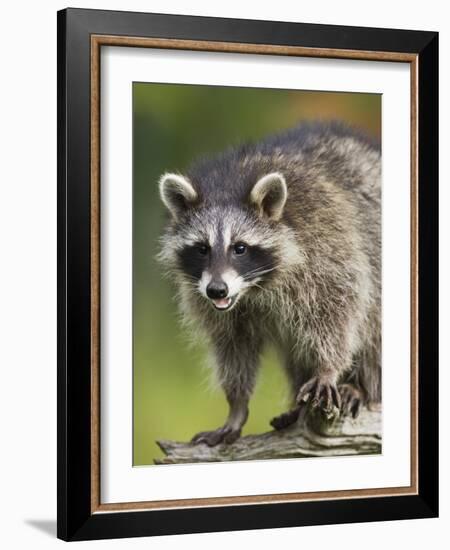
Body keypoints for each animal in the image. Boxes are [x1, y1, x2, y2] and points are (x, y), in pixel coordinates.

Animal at [157, 122, 380, 448]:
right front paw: (236, 405)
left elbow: (340, 309)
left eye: (240, 248)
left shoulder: (327, 245)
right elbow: (232, 346)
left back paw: (362, 388)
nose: (217, 290)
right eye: (202, 249)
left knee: (373, 326)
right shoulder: (208, 298)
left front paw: (328, 369)